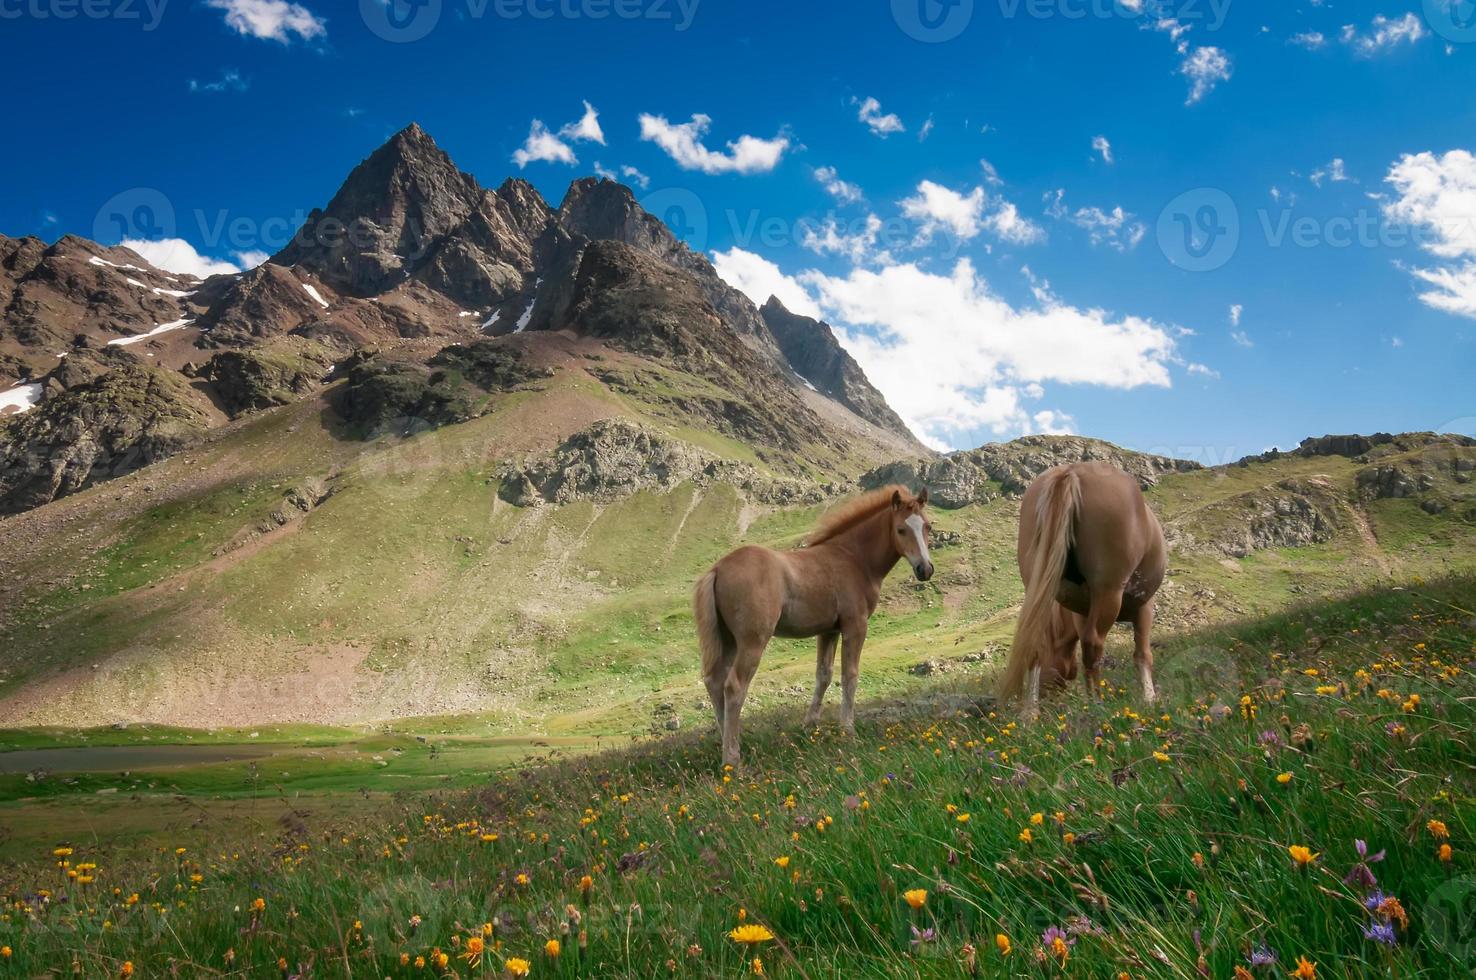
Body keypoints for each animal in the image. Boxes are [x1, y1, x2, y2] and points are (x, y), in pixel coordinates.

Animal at [693, 487, 932, 767]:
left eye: (927, 526)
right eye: (901, 529)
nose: (925, 569)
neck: (853, 558)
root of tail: (717, 569)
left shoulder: (829, 631)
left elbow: (823, 675)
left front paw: (809, 725)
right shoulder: (855, 625)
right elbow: (849, 675)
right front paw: (848, 731)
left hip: (728, 640)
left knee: (714, 682)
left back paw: (726, 743)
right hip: (752, 641)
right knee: (734, 687)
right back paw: (732, 759)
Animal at [1003, 463, 1163, 717]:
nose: (1049, 700)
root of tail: (1072, 471)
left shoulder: (1081, 613)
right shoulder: (1144, 607)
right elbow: (1143, 655)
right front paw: (1149, 699)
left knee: (1035, 644)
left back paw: (1031, 713)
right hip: (1108, 592)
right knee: (1093, 645)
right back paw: (1098, 705)